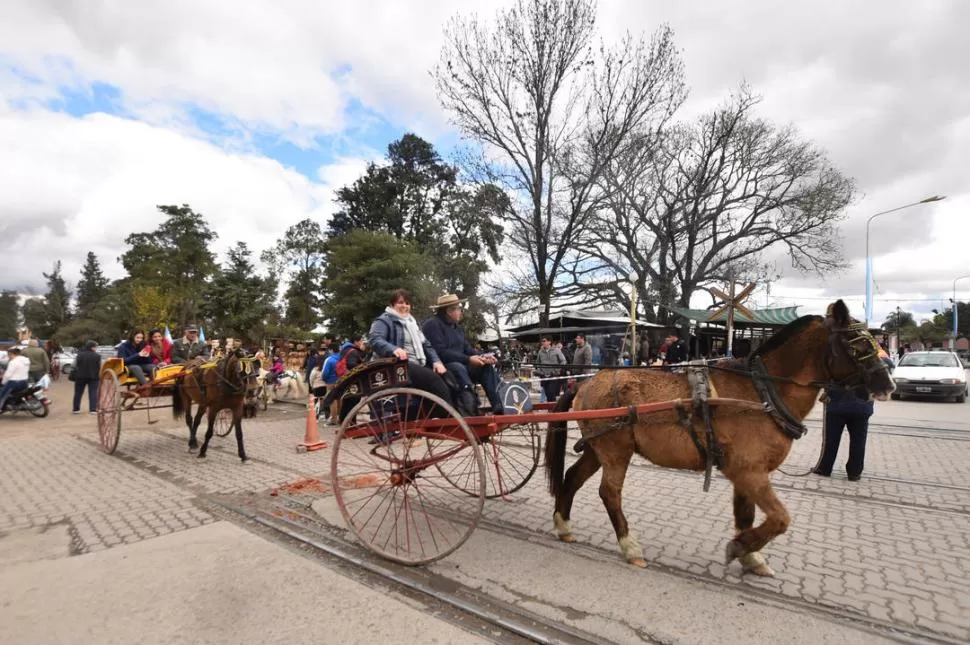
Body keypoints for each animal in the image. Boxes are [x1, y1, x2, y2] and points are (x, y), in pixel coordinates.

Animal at [544, 300, 892, 576]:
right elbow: (780, 518)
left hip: (597, 448)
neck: (761, 392)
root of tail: (586, 382)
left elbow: (747, 515)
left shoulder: (746, 474)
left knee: (573, 478)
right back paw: (630, 547)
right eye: (857, 345)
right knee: (609, 493)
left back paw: (563, 525)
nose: (887, 385)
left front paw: (751, 556)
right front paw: (740, 547)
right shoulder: (750, 472)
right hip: (615, 451)